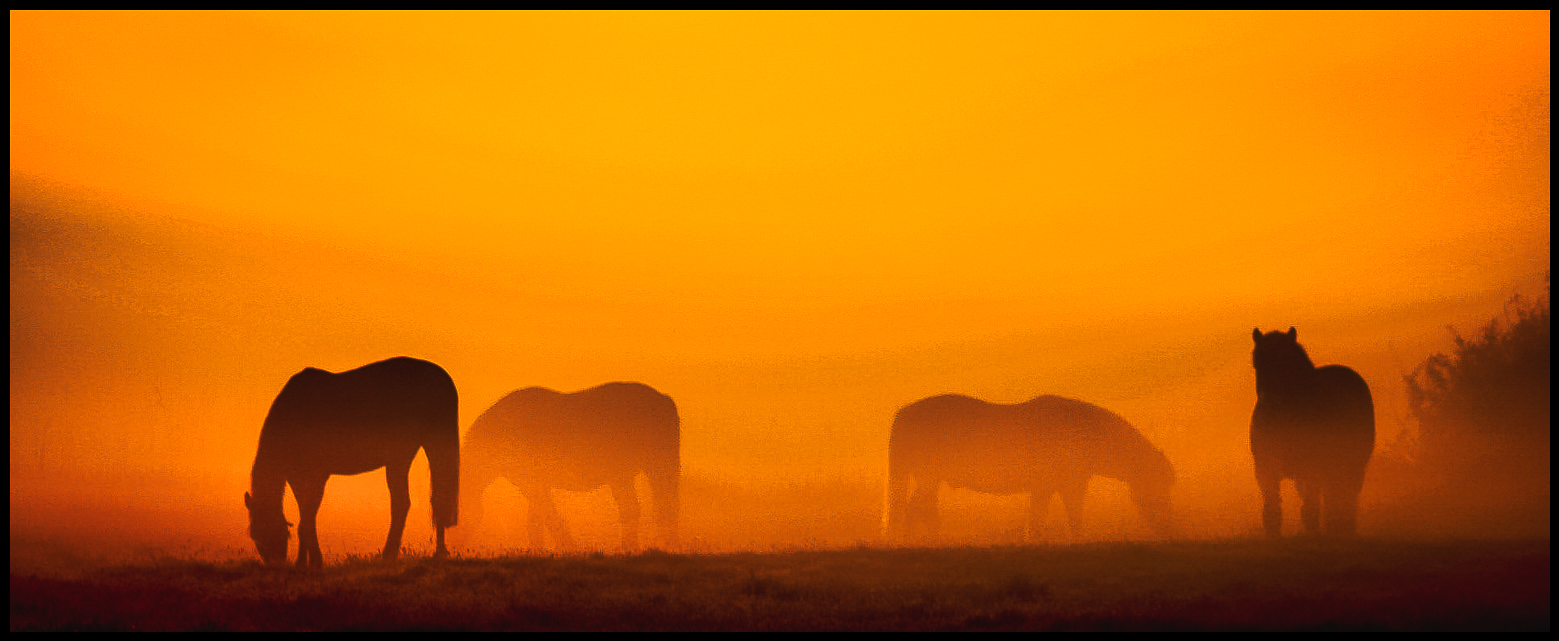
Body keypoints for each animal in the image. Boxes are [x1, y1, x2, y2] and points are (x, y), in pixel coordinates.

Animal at [243, 358, 458, 570]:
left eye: (272, 530)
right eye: (254, 536)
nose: (275, 564)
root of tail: (441, 376)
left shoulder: (318, 475)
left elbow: (308, 516)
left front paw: (315, 561)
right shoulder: (296, 477)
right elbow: (304, 515)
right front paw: (303, 562)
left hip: (407, 455)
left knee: (409, 502)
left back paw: (393, 555)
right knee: (433, 499)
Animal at [461, 383, 682, 555]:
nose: (459, 545)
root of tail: (664, 399)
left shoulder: (532, 485)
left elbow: (547, 518)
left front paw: (566, 547)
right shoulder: (534, 485)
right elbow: (537, 520)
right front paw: (539, 550)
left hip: (637, 472)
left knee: (642, 509)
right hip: (644, 472)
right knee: (654, 509)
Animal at [885, 394, 1172, 545]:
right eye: (1159, 485)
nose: (1166, 530)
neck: (1084, 430)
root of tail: (903, 414)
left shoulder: (1046, 488)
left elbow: (1038, 519)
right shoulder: (1068, 486)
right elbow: (1071, 518)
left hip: (929, 479)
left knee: (922, 511)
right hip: (928, 477)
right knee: (914, 511)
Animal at [1253, 329, 1378, 539]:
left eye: (1287, 361)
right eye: (1257, 361)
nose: (1270, 402)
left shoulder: (1312, 469)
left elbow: (1311, 508)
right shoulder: (1267, 470)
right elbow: (1272, 508)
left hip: (1350, 466)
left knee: (1344, 498)